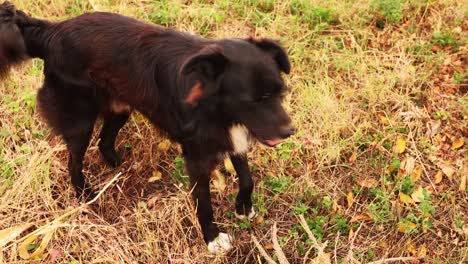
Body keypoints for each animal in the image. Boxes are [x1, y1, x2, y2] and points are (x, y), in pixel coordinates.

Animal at [0, 1, 292, 254]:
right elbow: (204, 202)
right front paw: (212, 238)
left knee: (104, 141)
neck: (212, 106)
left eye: (280, 92)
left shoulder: (233, 136)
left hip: (120, 108)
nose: (290, 132)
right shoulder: (197, 156)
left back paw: (118, 165)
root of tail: (52, 31)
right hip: (80, 120)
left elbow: (247, 177)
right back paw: (86, 196)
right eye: (255, 100)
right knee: (74, 161)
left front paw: (243, 207)